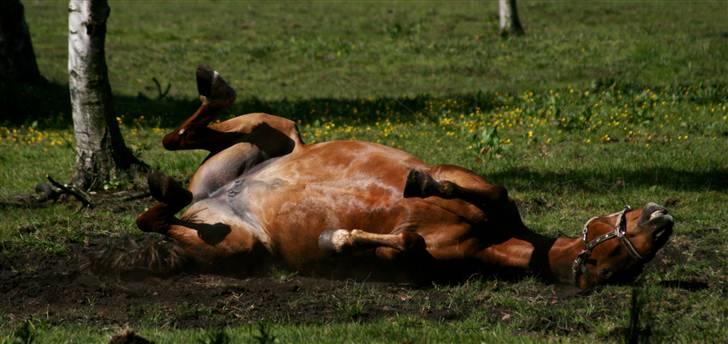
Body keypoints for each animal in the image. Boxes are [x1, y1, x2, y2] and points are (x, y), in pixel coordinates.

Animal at [135, 67, 672, 288]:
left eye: (619, 266)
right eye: (613, 245)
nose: (663, 219)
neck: (492, 236)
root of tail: (214, 198)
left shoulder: (417, 260)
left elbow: (408, 243)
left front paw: (342, 238)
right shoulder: (464, 177)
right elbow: (476, 187)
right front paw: (418, 186)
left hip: (240, 242)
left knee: (155, 215)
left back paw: (169, 191)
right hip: (273, 131)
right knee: (178, 138)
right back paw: (213, 91)